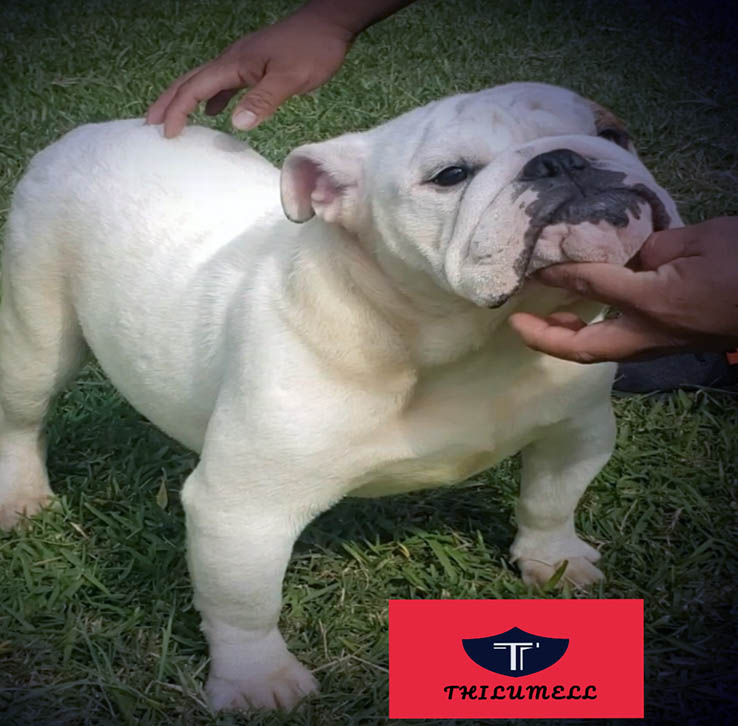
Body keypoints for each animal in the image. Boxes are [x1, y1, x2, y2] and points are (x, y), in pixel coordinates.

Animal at [0, 82, 680, 711]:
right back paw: (24, 496)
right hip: (36, 338)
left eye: (614, 133)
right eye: (451, 175)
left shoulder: (577, 430)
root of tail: (91, 132)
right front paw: (258, 681)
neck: (470, 340)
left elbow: (551, 500)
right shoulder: (241, 508)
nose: (564, 159)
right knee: (22, 417)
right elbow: (244, 602)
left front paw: (554, 562)